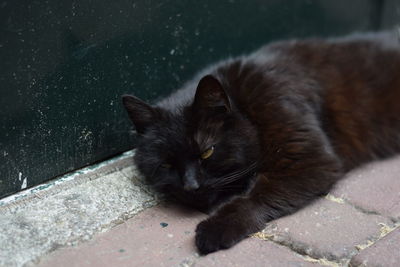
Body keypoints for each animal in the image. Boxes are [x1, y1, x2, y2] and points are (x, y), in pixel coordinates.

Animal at [122, 31, 400, 255]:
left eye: (207, 152)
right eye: (167, 164)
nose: (191, 186)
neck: (245, 101)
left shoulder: (306, 158)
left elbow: (255, 196)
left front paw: (216, 228)